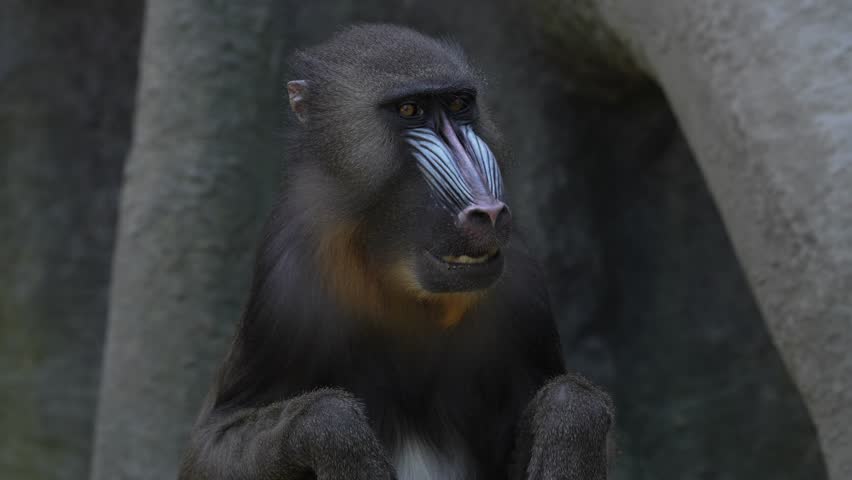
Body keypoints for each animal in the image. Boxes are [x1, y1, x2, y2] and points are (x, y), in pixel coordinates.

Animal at [179, 24, 614, 480]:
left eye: (458, 104)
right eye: (409, 110)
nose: (488, 212)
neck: (399, 281)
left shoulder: (522, 288)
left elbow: (570, 400)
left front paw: (571, 413)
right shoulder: (284, 284)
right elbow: (212, 444)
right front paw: (341, 441)